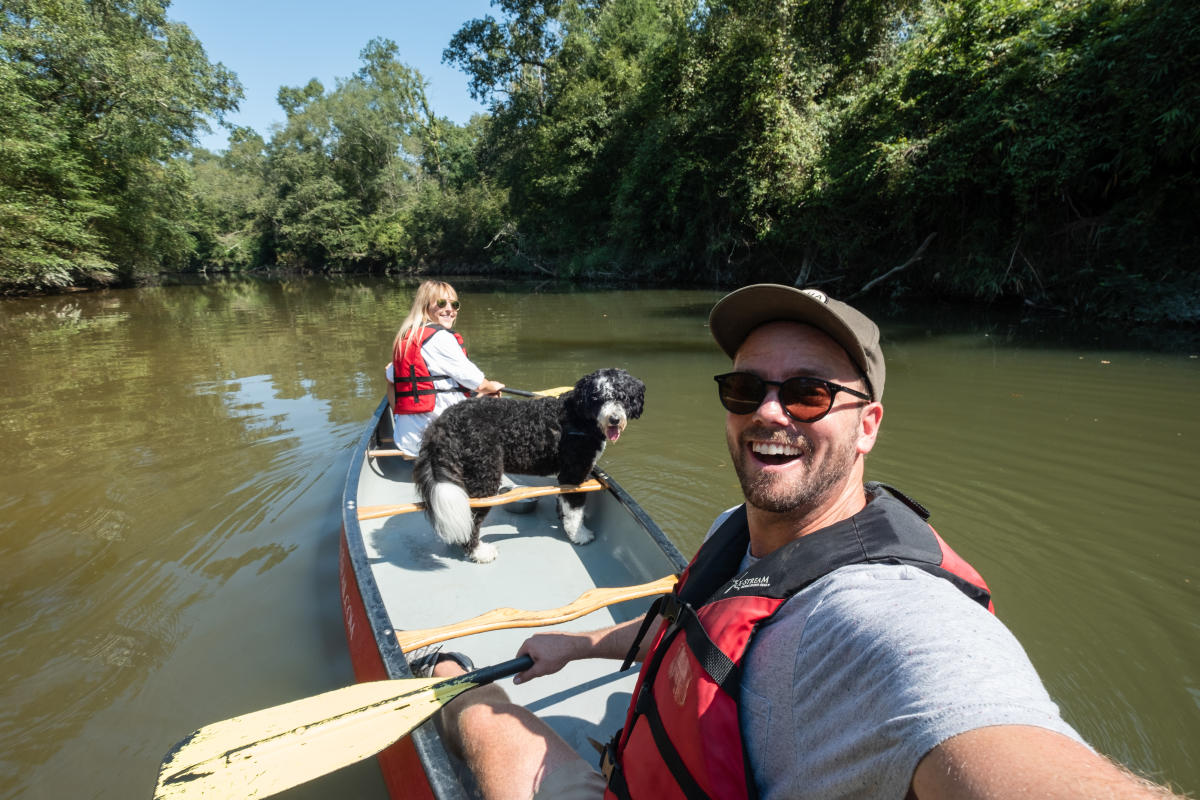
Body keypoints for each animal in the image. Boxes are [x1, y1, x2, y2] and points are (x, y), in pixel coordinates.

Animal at [417, 369, 652, 563]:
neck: (579, 417)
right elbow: (576, 511)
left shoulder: (567, 476)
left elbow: (564, 504)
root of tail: (442, 423)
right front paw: (580, 535)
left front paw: (564, 521)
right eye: (597, 398)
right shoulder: (574, 474)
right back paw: (479, 552)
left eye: (622, 397)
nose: (614, 419)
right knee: (472, 519)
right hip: (484, 476)